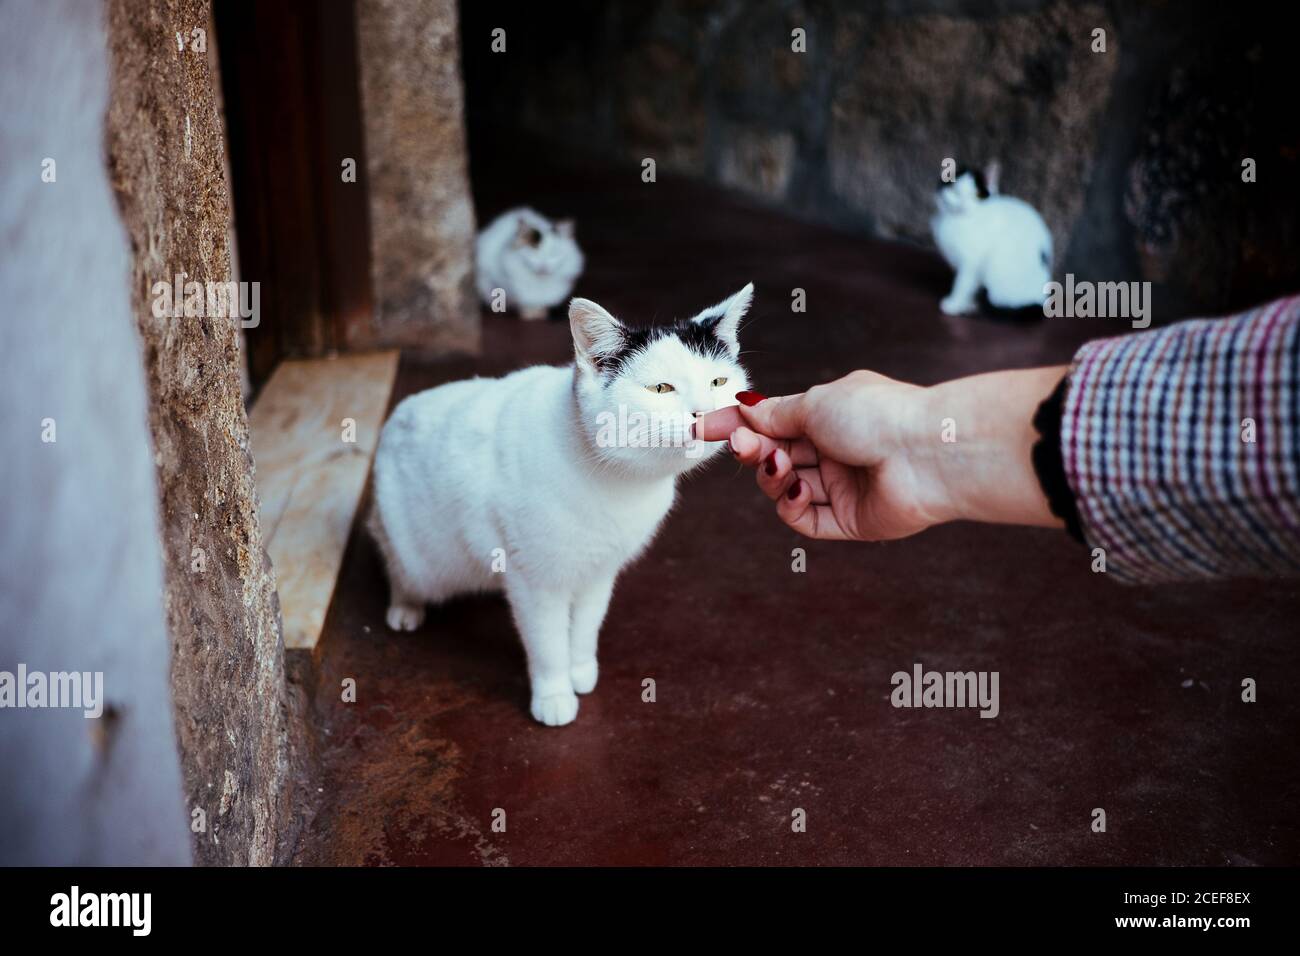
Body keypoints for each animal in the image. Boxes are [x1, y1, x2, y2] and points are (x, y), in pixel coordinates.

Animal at [366, 283, 754, 723]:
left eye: (718, 381)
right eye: (660, 389)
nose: (704, 414)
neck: (621, 484)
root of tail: (396, 415)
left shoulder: (600, 571)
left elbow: (585, 628)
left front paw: (581, 671)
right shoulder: (536, 581)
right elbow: (548, 643)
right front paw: (554, 696)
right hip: (413, 553)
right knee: (398, 568)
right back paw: (405, 609)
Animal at [930, 162, 1050, 316]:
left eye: (976, 195)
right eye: (954, 191)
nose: (962, 205)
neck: (958, 222)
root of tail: (1040, 302)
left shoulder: (972, 262)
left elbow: (963, 283)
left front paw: (955, 304)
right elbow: (972, 286)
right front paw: (967, 303)